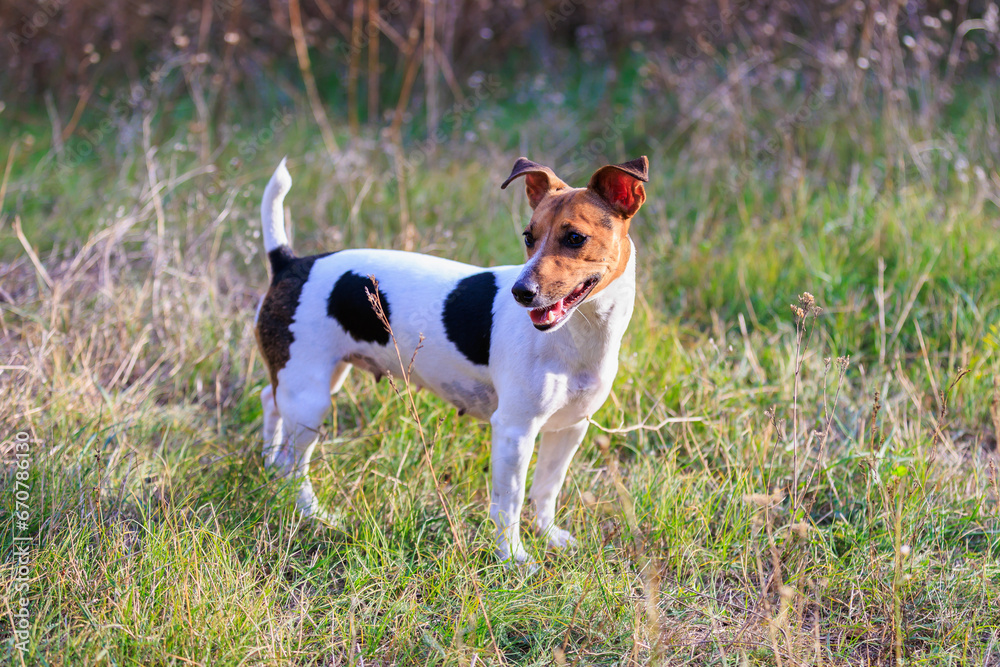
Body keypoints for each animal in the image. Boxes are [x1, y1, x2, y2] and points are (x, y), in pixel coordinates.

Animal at [254, 155, 652, 564]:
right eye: (529, 236)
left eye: (575, 238)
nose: (520, 293)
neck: (578, 334)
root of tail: (289, 263)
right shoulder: (515, 431)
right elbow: (509, 502)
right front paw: (513, 558)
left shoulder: (570, 428)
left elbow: (546, 489)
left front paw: (549, 536)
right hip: (311, 399)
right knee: (295, 466)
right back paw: (312, 512)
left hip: (313, 380)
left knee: (271, 404)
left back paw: (269, 463)